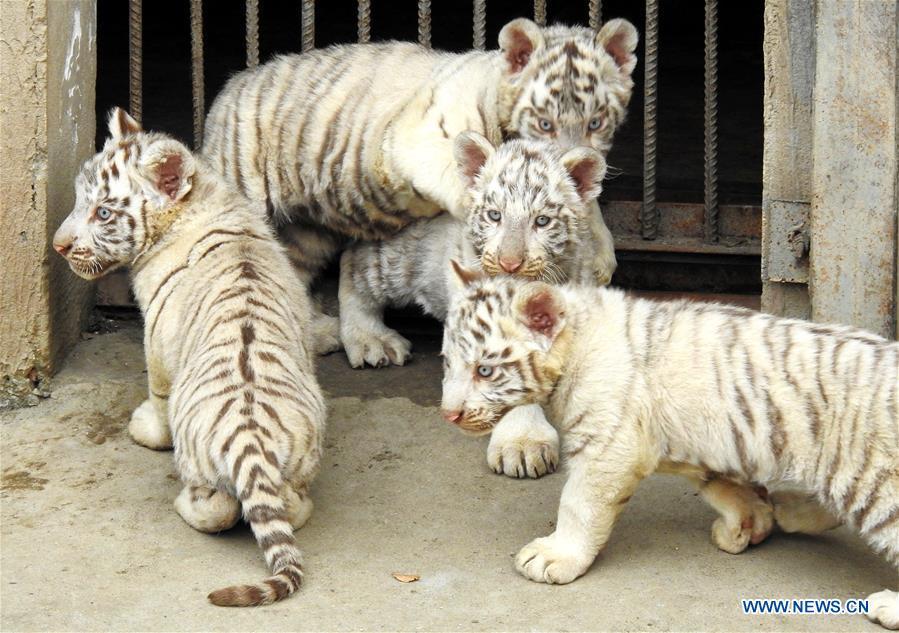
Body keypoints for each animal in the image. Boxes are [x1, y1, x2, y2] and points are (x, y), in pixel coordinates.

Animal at [51, 110, 326, 608]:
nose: (58, 245)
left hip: (201, 463)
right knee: (289, 506)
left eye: (102, 212)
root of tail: (250, 439)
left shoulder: (156, 338)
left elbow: (157, 392)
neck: (201, 200)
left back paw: (181, 502)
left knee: (218, 510)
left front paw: (146, 428)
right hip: (300, 456)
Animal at [440, 270, 896, 628]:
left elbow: (579, 504)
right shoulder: (698, 437)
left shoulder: (607, 446)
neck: (576, 344)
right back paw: (788, 509)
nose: (449, 414)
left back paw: (886, 606)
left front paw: (557, 556)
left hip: (874, 479)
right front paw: (748, 522)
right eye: (447, 362)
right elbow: (717, 484)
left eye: (485, 370)